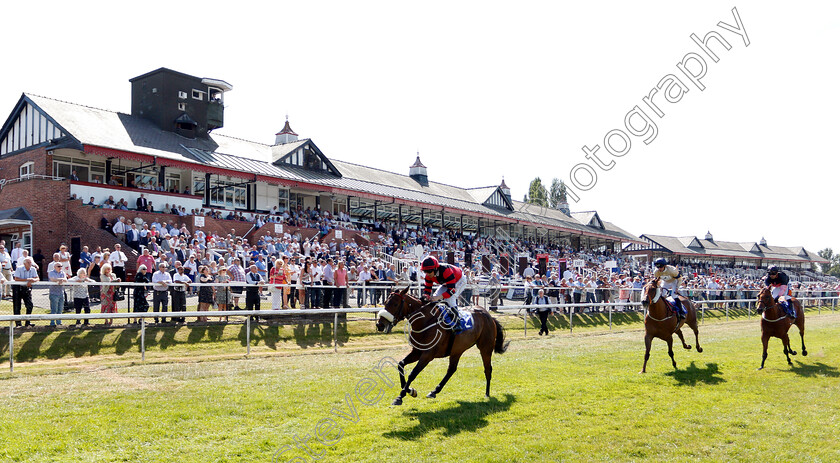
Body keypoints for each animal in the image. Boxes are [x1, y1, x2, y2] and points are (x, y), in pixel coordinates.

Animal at [376, 288, 508, 404]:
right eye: (385, 302)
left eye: (395, 304)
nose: (380, 324)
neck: (425, 322)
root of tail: (489, 316)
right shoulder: (417, 351)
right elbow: (400, 364)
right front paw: (410, 390)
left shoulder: (428, 355)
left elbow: (413, 373)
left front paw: (400, 396)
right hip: (457, 350)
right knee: (451, 369)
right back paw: (434, 391)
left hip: (485, 347)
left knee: (487, 369)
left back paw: (487, 393)